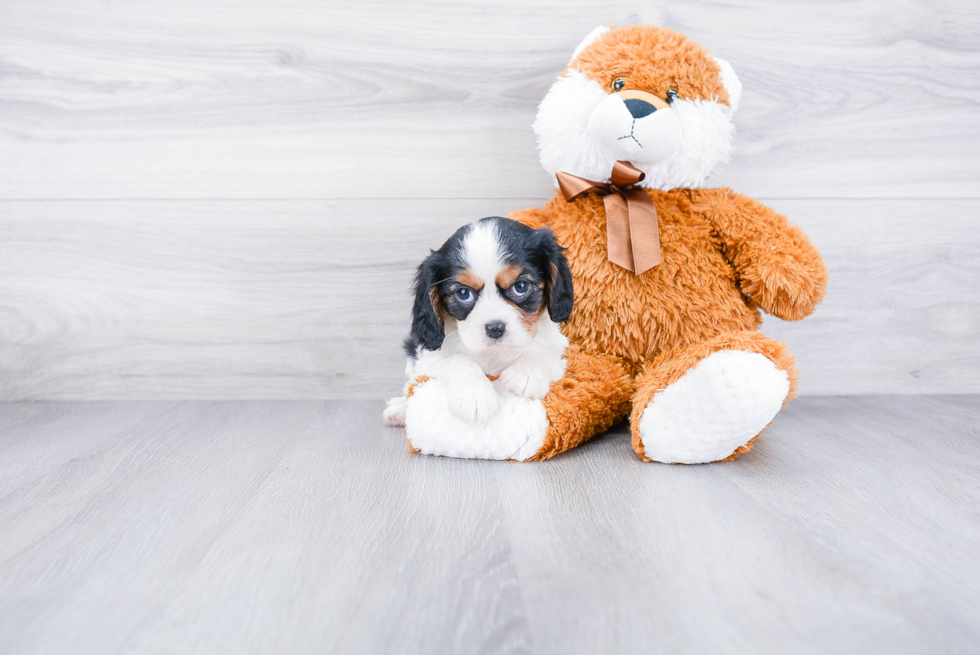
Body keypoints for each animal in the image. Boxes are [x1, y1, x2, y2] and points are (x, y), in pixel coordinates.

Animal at [382, 218, 576, 428]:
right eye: (464, 293)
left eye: (520, 286)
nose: (495, 328)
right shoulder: (428, 359)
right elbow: (457, 361)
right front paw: (474, 395)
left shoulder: (557, 352)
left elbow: (543, 353)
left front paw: (526, 373)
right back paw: (400, 410)